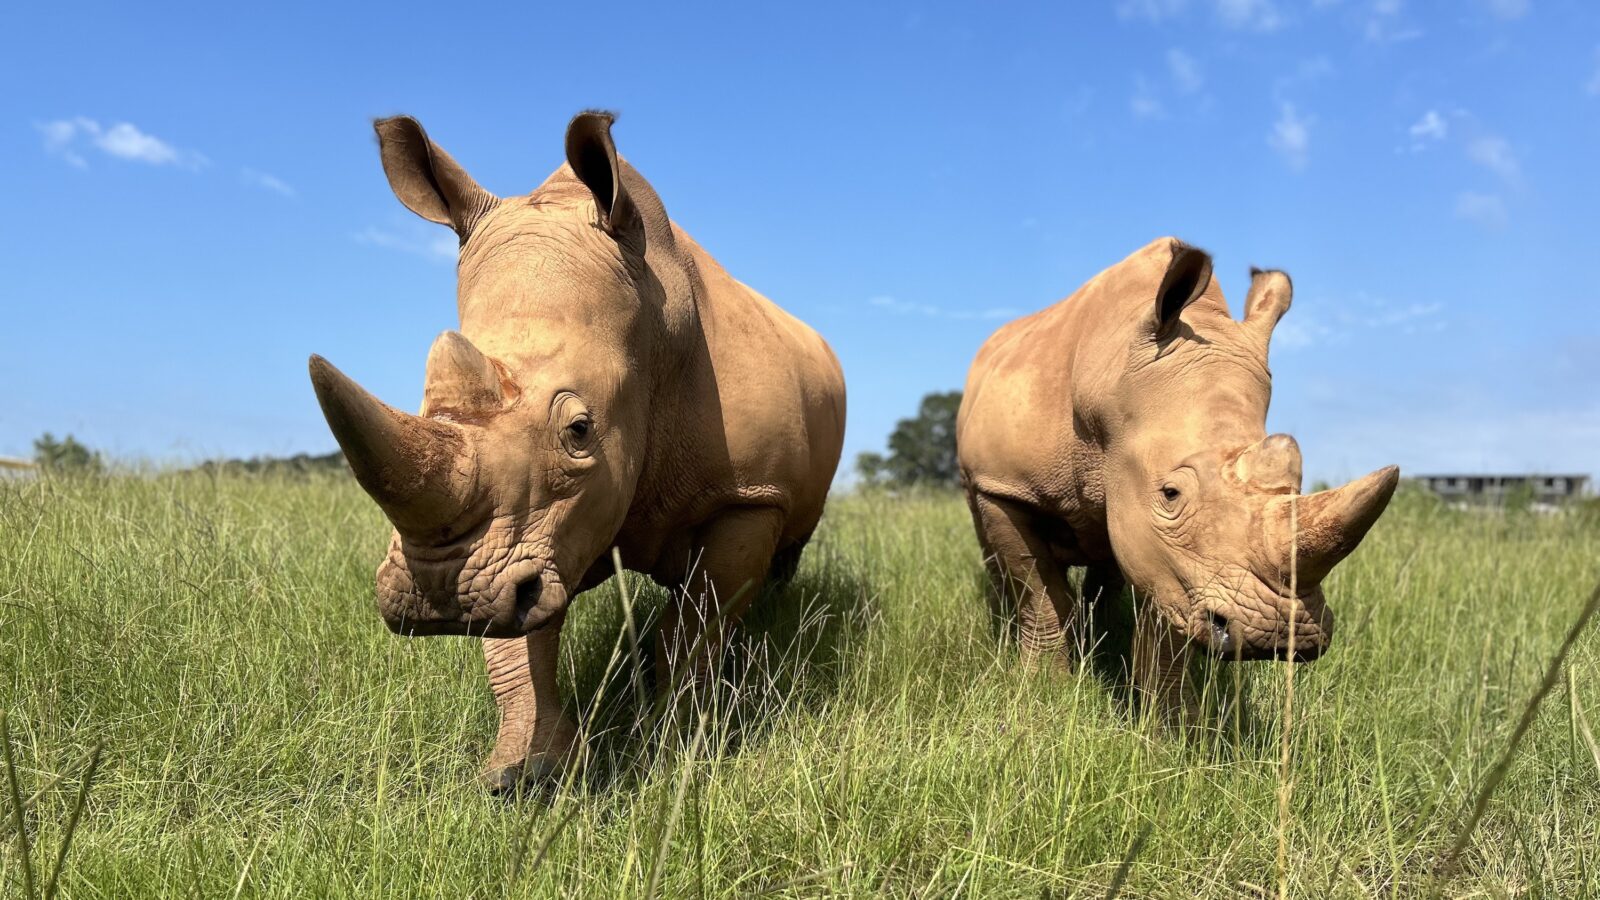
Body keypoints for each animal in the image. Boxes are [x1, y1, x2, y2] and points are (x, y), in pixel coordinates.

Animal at [308, 112, 846, 790]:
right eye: (426, 405)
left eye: (580, 430)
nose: (439, 594)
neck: (654, 330)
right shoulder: (520, 549)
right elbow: (517, 639)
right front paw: (524, 773)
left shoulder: (748, 494)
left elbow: (698, 624)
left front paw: (674, 747)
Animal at [956, 238, 1397, 715]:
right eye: (1171, 493)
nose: (1283, 636)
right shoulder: (1005, 486)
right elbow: (1039, 593)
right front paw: (1045, 687)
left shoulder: (1171, 552)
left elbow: (1166, 619)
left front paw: (1170, 719)